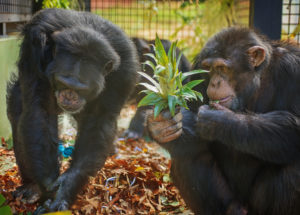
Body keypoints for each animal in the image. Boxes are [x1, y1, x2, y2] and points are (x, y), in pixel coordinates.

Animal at [6, 8, 138, 213]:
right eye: (63, 82)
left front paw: (65, 188)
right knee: (19, 110)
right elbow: (40, 109)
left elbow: (99, 122)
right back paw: (31, 187)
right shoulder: (34, 47)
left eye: (82, 88)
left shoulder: (124, 71)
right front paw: (47, 189)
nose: (69, 96)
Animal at [146, 27, 300, 215]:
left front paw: (218, 120)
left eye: (222, 68)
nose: (215, 83)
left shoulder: (293, 68)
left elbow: (295, 124)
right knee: (189, 155)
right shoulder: (197, 68)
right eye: (209, 69)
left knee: (293, 169)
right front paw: (160, 126)